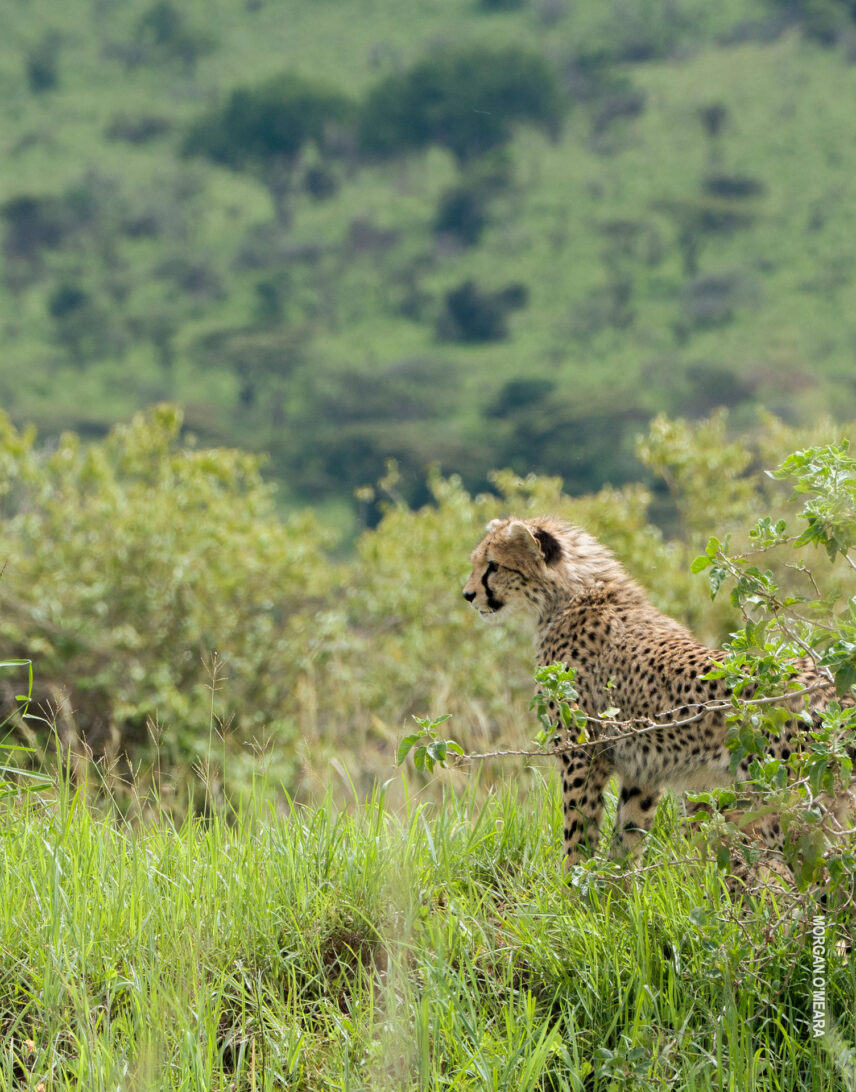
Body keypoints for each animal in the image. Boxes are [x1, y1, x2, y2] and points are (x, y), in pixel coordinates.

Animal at [462, 515, 852, 880]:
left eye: (493, 565)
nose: (467, 595)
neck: (573, 592)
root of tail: (837, 692)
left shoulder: (582, 754)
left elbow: (579, 834)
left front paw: (571, 892)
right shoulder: (643, 771)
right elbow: (626, 839)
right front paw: (612, 899)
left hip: (788, 805)